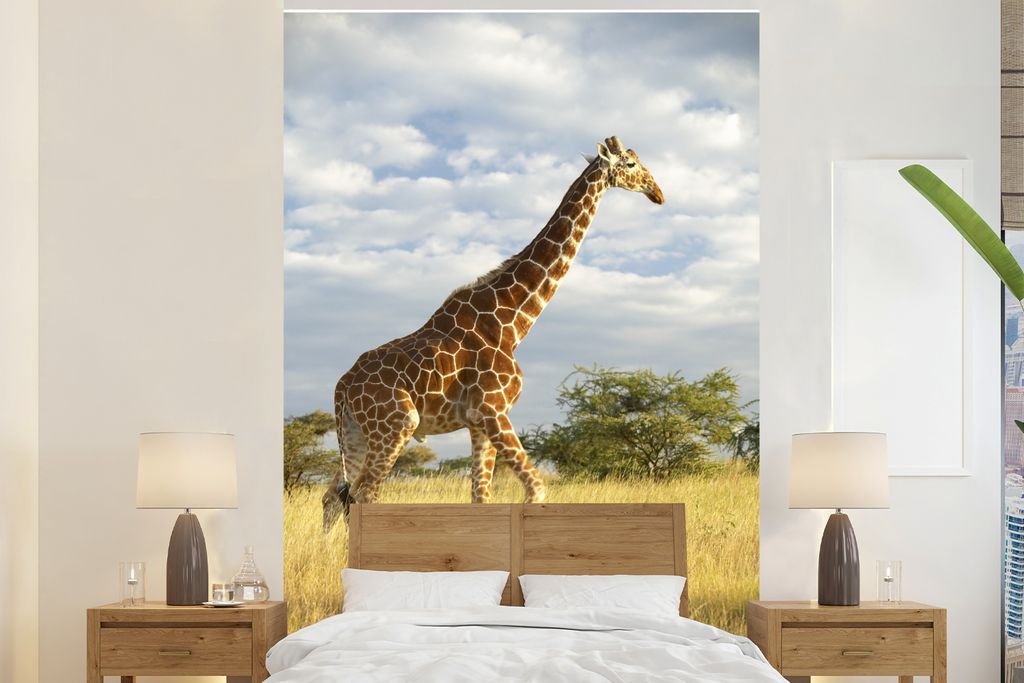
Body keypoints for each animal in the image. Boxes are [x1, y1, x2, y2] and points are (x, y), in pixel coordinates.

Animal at [322, 136, 664, 531]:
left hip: (356, 433)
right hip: (396, 425)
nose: (658, 193)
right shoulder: (492, 409)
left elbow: (481, 498)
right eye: (630, 164)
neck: (513, 322)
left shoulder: (477, 423)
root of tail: (342, 386)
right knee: (363, 495)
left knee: (334, 496)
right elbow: (536, 488)